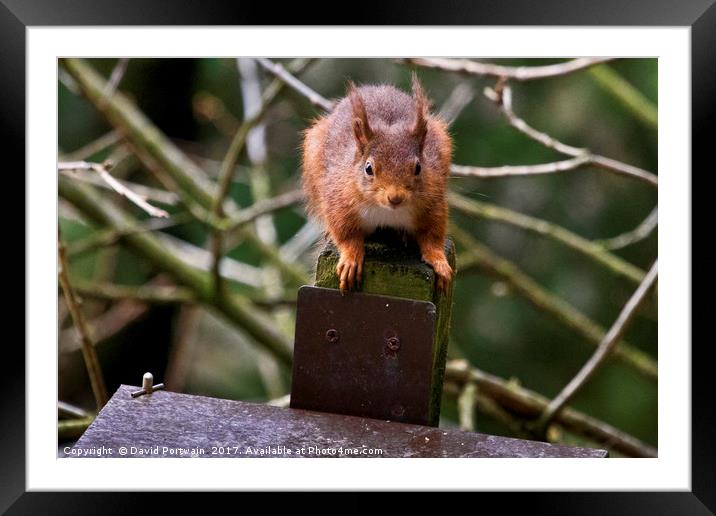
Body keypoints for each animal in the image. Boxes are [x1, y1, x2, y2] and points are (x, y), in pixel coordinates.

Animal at [302, 75, 454, 294]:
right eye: (368, 168)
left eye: (418, 167)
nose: (395, 198)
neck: (386, 212)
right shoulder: (338, 200)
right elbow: (346, 234)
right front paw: (350, 259)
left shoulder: (433, 203)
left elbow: (432, 235)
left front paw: (439, 261)